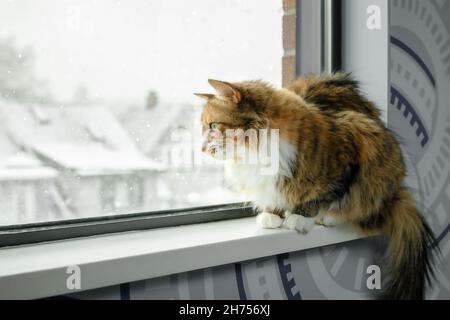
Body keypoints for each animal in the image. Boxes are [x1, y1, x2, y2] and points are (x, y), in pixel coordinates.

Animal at [195, 72, 438, 300]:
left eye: (213, 126)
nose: (202, 149)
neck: (259, 149)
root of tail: (396, 194)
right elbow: (274, 197)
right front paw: (272, 215)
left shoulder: (350, 153)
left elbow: (322, 195)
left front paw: (301, 217)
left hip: (380, 172)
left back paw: (330, 217)